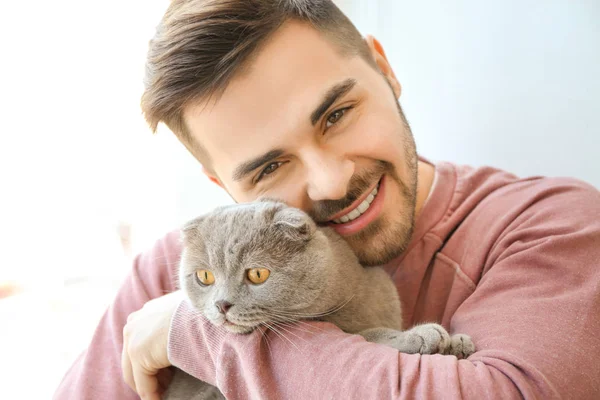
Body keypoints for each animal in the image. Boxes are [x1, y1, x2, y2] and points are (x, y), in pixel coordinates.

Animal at [164, 202, 474, 398]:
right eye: (205, 276)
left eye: (257, 274)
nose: (221, 304)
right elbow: (369, 334)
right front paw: (423, 334)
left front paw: (458, 342)